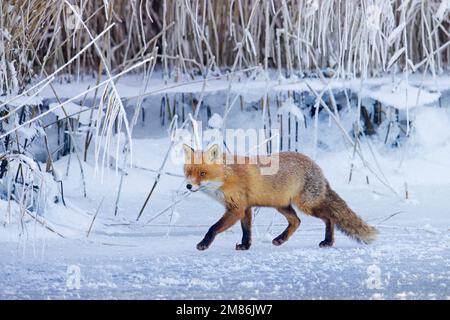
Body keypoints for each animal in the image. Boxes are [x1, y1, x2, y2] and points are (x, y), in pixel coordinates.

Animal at [182, 144, 376, 251]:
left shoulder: (236, 209)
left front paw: (204, 244)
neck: (227, 177)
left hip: (307, 205)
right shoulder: (245, 207)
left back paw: (328, 242)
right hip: (282, 205)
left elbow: (213, 228)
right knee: (297, 221)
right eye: (188, 172)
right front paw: (245, 246)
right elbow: (247, 231)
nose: (189, 186)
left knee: (330, 217)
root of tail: (316, 166)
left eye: (202, 173)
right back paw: (281, 239)